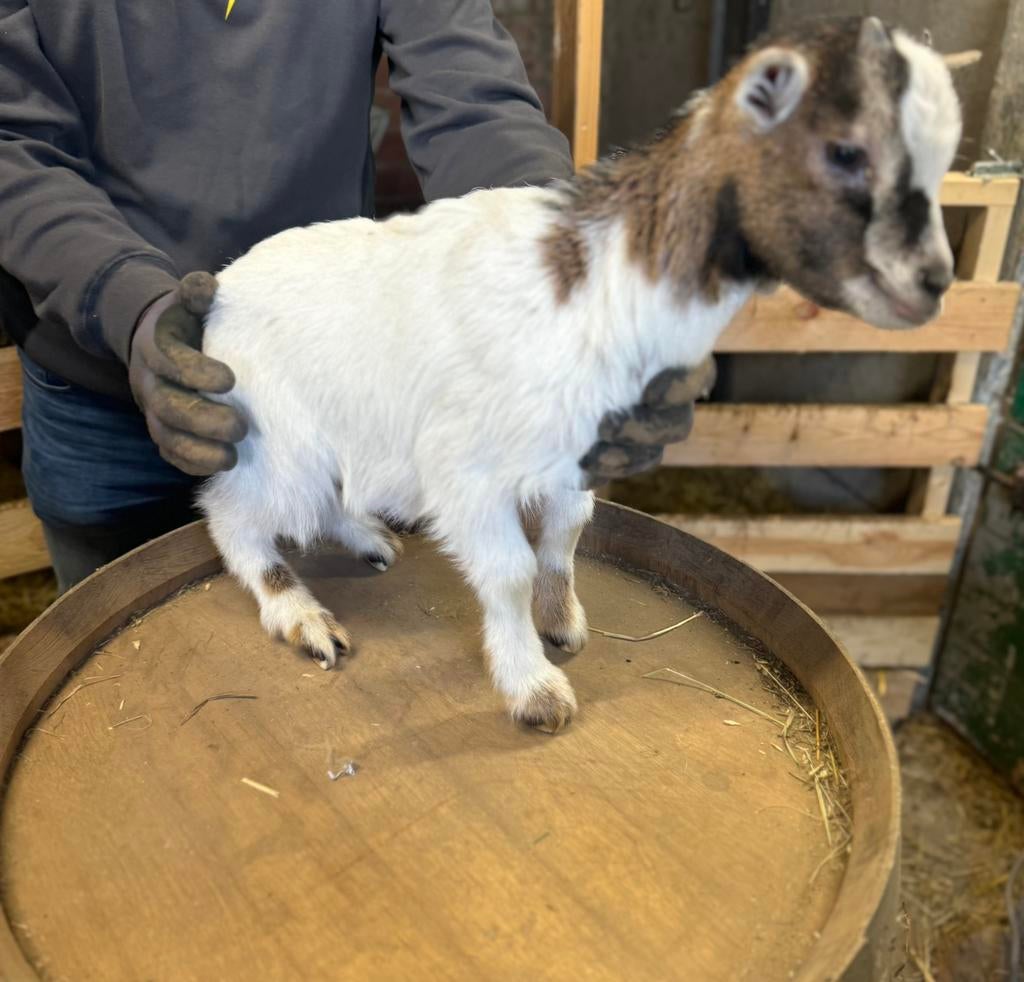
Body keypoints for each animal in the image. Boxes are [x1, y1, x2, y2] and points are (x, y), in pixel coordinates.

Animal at [199, 17, 962, 732]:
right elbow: (507, 569)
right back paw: (302, 616)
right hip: (277, 438)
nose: (933, 284)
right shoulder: (466, 469)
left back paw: (368, 541)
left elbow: (567, 531)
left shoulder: (579, 448)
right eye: (845, 149)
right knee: (233, 514)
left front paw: (560, 621)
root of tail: (219, 294)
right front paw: (534, 690)